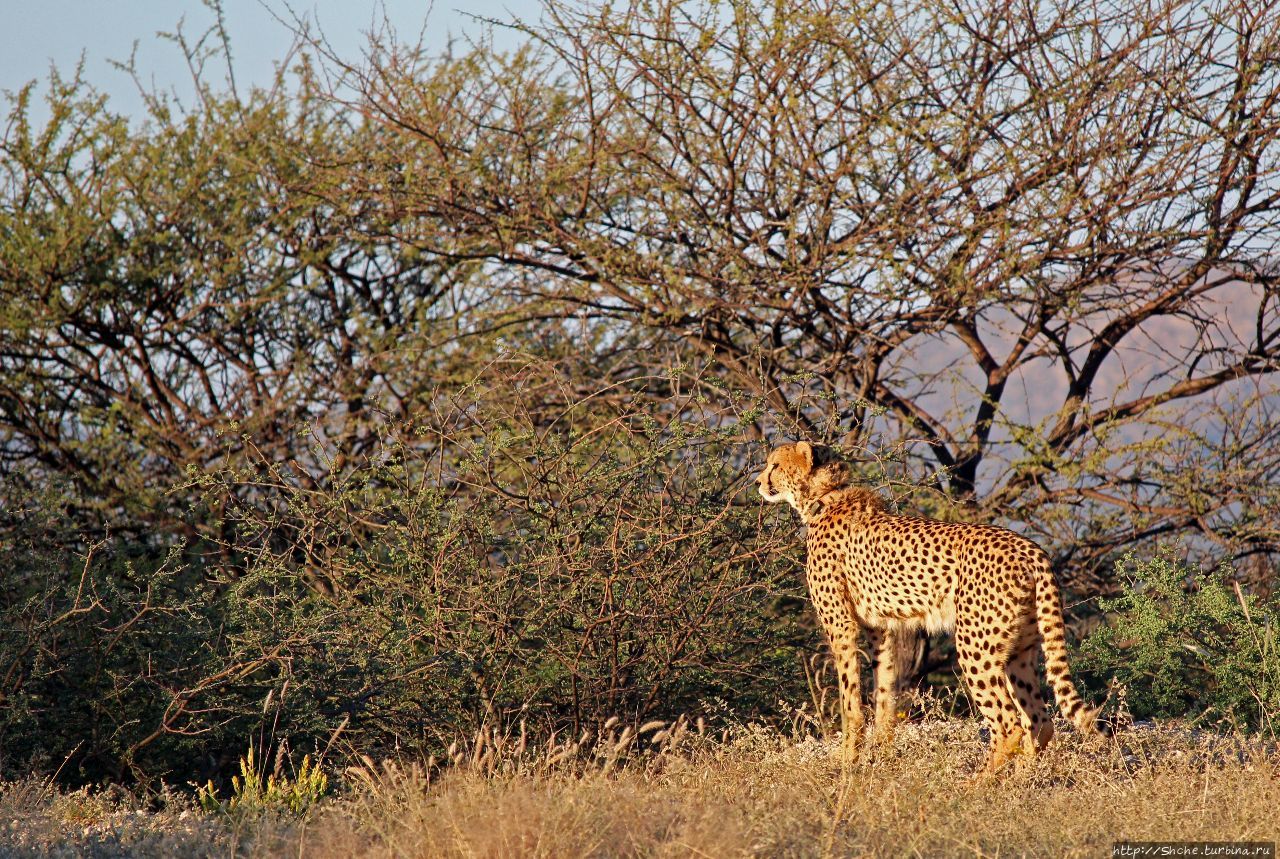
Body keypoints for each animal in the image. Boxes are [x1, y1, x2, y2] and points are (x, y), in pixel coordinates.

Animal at [752, 442, 1105, 773]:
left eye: (775, 465)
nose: (758, 482)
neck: (824, 497)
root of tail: (1030, 548)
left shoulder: (841, 626)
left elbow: (850, 699)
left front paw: (847, 764)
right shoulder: (881, 629)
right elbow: (885, 693)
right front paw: (880, 756)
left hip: (976, 646)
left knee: (1008, 724)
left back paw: (977, 785)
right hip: (1020, 648)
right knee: (1039, 720)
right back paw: (1020, 781)